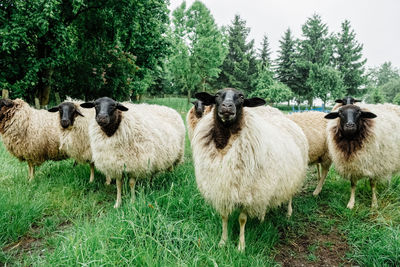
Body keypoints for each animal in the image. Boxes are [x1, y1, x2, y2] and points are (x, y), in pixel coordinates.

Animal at [192, 88, 308, 251]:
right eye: (217, 95)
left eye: (241, 97)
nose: (227, 106)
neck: (225, 144)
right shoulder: (222, 189)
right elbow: (224, 216)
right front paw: (223, 242)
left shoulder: (247, 191)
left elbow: (242, 219)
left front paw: (241, 246)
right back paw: (262, 217)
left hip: (292, 176)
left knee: (290, 194)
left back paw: (288, 213)